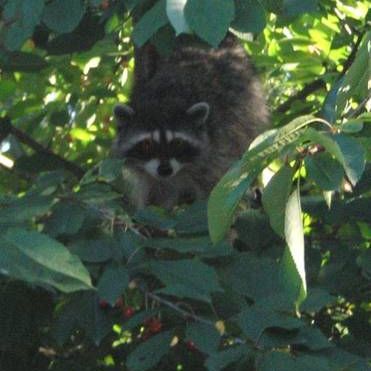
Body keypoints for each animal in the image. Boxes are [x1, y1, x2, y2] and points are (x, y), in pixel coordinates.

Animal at [114, 36, 270, 211]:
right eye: (146, 145)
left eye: (178, 143)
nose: (165, 170)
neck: (163, 100)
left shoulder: (217, 147)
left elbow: (216, 184)